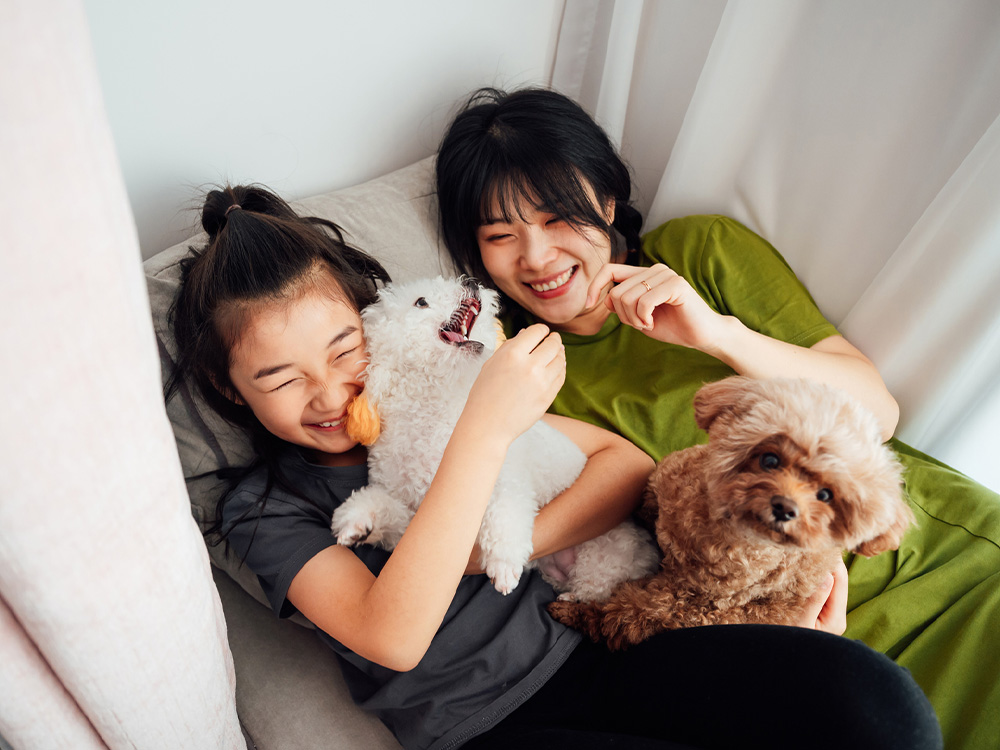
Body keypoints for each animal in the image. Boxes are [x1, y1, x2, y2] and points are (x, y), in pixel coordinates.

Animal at [328, 276, 660, 600]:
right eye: (421, 302)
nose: (473, 284)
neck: (436, 408)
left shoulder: (504, 478)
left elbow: (505, 515)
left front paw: (504, 563)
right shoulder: (414, 514)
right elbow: (382, 507)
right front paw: (357, 522)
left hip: (603, 555)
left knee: (595, 587)